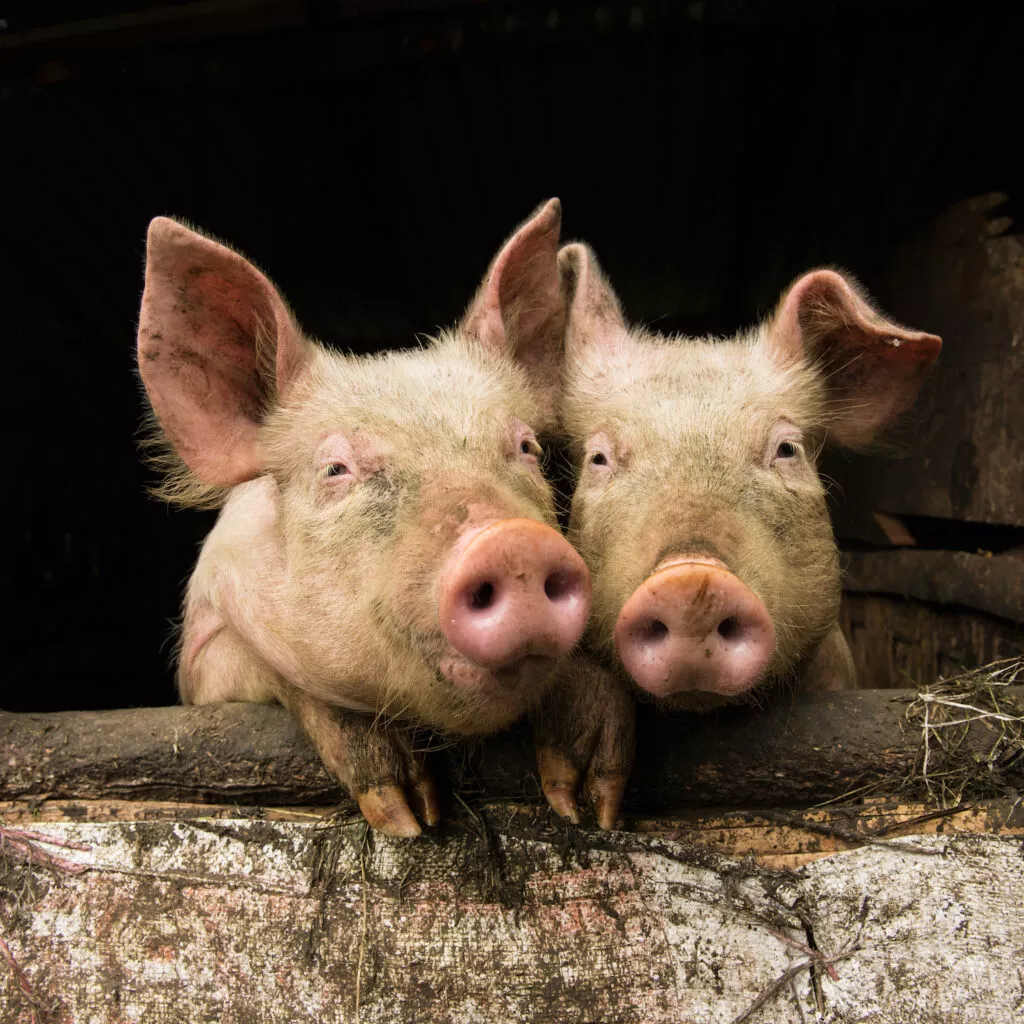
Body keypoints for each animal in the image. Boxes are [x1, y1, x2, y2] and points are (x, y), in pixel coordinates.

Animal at [134, 197, 593, 831]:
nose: (513, 541)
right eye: (335, 469)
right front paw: (409, 816)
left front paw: (585, 802)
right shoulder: (203, 651)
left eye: (526, 447)